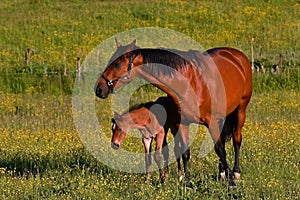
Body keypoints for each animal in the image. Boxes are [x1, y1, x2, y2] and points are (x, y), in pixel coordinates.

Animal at [95, 39, 252, 188]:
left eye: (117, 64)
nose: (99, 88)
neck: (189, 83)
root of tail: (238, 56)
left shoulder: (211, 120)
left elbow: (220, 149)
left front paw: (231, 183)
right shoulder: (182, 123)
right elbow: (185, 153)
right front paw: (187, 183)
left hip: (240, 111)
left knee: (236, 140)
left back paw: (235, 173)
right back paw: (222, 173)